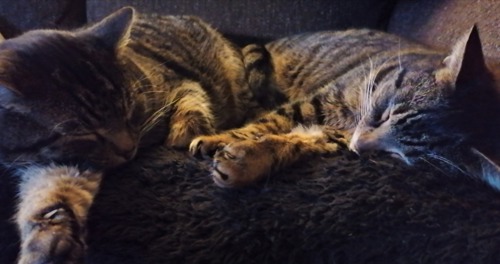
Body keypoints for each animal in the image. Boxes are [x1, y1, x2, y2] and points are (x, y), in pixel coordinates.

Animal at [189, 26, 500, 188]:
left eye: (398, 154)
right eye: (385, 114)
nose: (358, 147)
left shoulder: (336, 135)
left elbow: (298, 141)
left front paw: (250, 160)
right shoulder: (319, 101)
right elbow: (271, 121)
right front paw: (218, 139)